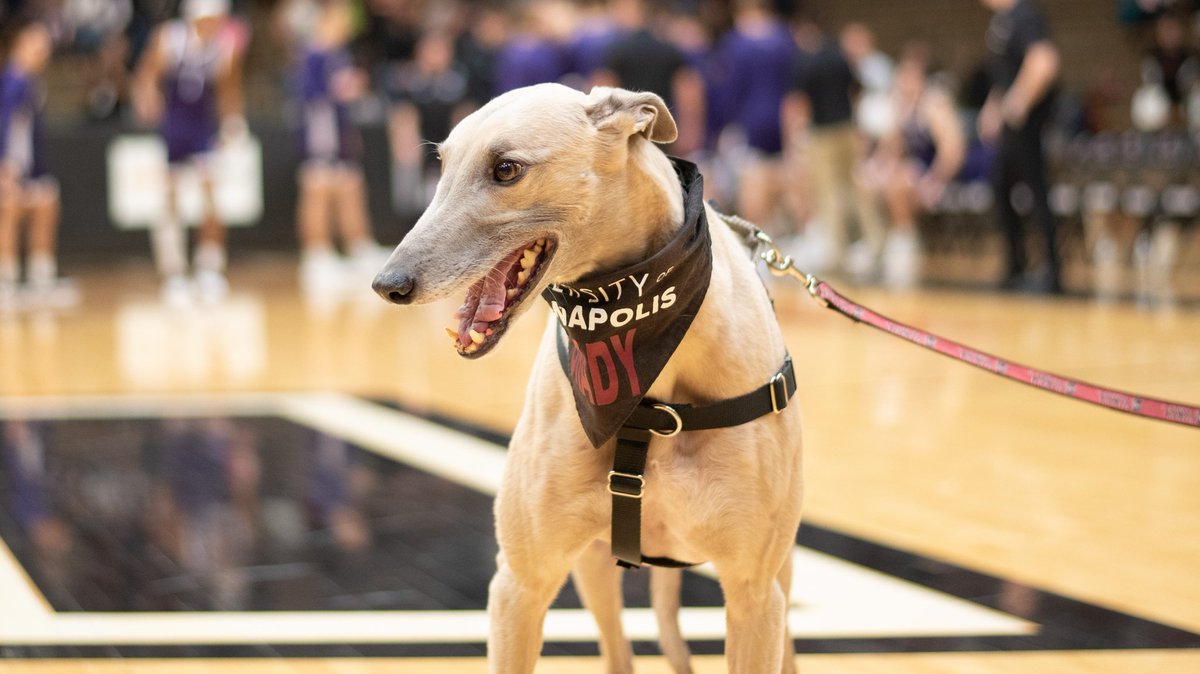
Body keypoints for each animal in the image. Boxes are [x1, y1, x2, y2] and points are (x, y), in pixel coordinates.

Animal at [372, 85, 806, 671]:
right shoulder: (520, 585)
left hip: (777, 585)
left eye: (506, 169)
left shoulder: (753, 593)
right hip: (593, 566)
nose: (388, 283)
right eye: (441, 164)